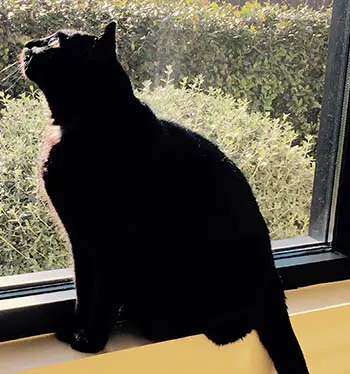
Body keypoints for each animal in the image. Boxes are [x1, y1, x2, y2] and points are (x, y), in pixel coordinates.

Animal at [21, 21, 308, 372]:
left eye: (56, 41)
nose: (29, 44)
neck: (80, 125)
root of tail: (274, 280)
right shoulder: (80, 241)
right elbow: (83, 289)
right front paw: (75, 328)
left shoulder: (112, 244)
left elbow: (101, 295)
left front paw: (90, 341)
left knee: (224, 329)